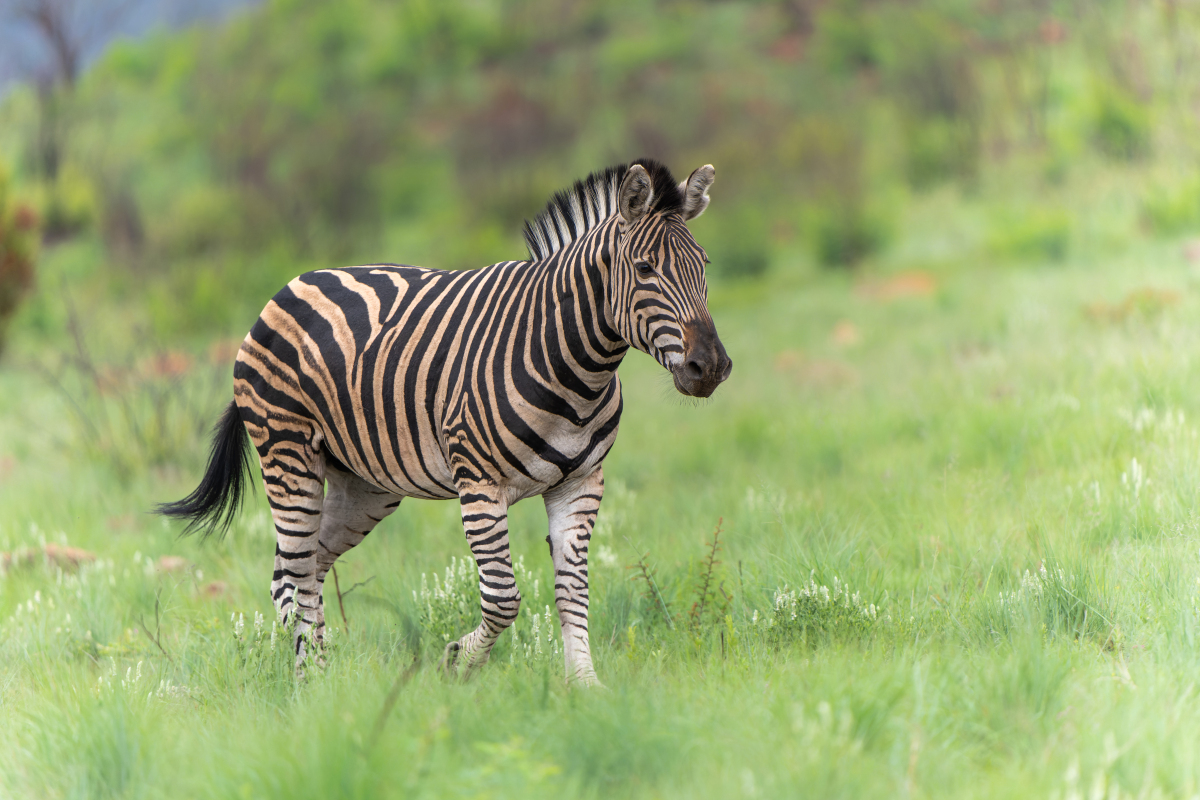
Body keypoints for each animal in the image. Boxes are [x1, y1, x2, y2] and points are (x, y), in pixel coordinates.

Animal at [158, 159, 729, 686]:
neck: (576, 367)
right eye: (645, 269)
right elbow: (503, 597)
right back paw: (311, 682)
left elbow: (573, 589)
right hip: (289, 454)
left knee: (305, 568)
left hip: (363, 483)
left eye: (703, 264)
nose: (711, 367)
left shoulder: (582, 482)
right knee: (295, 571)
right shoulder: (479, 483)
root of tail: (292, 285)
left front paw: (584, 687)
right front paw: (458, 662)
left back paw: (324, 674)